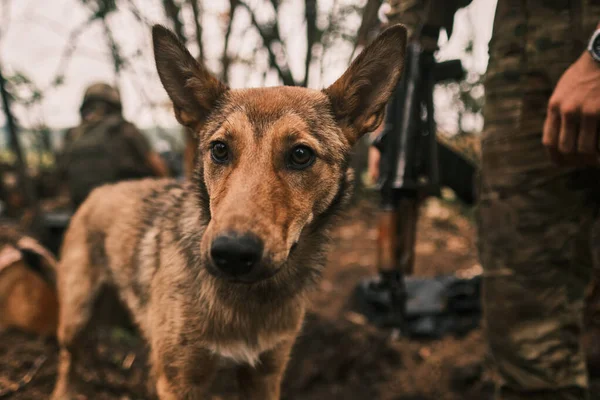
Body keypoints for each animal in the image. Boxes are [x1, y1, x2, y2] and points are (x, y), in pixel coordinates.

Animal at [51, 23, 408, 398]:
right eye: (220, 149)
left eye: (300, 155)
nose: (232, 253)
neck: (248, 302)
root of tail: (97, 192)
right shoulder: (180, 381)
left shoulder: (266, 374)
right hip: (76, 315)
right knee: (68, 360)